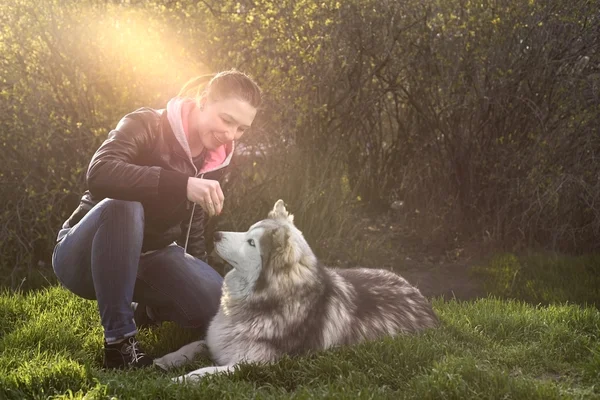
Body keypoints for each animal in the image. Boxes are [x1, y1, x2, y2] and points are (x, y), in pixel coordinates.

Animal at [152, 200, 438, 382]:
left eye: (251, 242)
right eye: (247, 230)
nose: (216, 234)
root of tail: (419, 296)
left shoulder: (256, 364)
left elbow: (208, 371)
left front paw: (181, 379)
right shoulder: (216, 339)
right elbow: (195, 343)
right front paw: (167, 359)